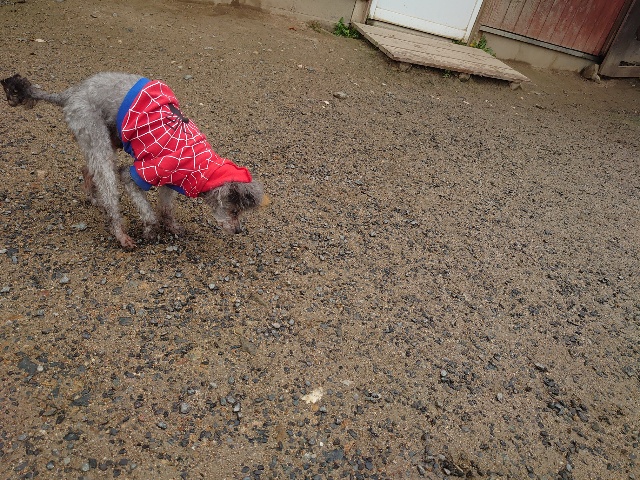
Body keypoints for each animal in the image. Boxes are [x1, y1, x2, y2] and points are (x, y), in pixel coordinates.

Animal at [1, 72, 265, 249]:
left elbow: (166, 208)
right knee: (108, 191)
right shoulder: (136, 175)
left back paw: (93, 197)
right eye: (234, 211)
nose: (239, 231)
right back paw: (120, 234)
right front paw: (149, 231)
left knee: (88, 169)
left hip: (110, 139)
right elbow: (148, 212)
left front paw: (171, 226)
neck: (201, 164)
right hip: (96, 136)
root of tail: (70, 93)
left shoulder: (172, 179)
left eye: (240, 213)